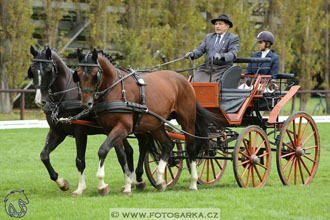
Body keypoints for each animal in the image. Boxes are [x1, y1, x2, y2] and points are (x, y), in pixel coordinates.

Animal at [27, 46, 151, 196]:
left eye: (49, 70)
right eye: (32, 71)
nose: (40, 101)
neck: (66, 95)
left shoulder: (80, 132)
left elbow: (80, 160)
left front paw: (81, 187)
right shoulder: (57, 132)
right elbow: (44, 155)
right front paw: (62, 183)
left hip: (139, 127)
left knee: (143, 145)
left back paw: (139, 179)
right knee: (129, 151)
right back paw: (130, 181)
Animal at [73, 48, 226, 192]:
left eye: (95, 74)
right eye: (78, 74)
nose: (86, 104)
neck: (115, 88)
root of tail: (184, 81)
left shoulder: (123, 127)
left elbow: (103, 150)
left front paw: (102, 184)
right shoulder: (109, 129)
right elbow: (121, 156)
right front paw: (127, 184)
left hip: (187, 121)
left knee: (191, 148)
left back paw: (193, 182)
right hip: (156, 124)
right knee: (168, 144)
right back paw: (160, 180)